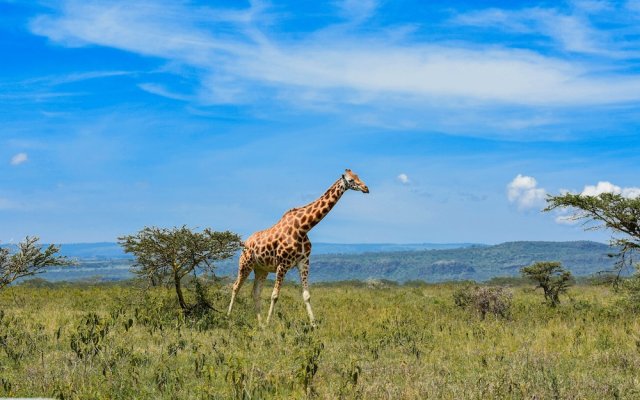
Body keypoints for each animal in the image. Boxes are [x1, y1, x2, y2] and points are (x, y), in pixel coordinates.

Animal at [226, 169, 370, 324]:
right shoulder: (282, 264)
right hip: (245, 263)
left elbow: (306, 295)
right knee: (235, 287)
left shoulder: (303, 262)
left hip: (261, 269)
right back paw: (229, 317)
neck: (303, 228)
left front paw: (313, 324)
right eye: (351, 180)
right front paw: (269, 323)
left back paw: (260, 325)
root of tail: (246, 242)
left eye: (358, 176)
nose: (366, 188)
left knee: (255, 292)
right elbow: (274, 295)